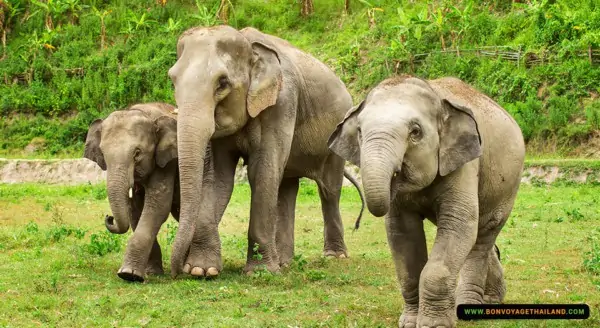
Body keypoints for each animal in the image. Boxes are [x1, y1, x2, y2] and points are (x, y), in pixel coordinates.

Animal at [84, 102, 178, 282]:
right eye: (103, 154)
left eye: (137, 153)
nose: (109, 217)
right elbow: (134, 211)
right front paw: (150, 273)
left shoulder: (167, 163)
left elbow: (157, 207)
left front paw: (128, 274)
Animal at [169, 24, 366, 278]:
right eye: (172, 80)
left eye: (222, 83)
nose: (176, 271)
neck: (248, 44)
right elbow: (218, 178)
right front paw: (202, 270)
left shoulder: (282, 102)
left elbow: (261, 171)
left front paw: (261, 272)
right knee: (286, 188)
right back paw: (285, 262)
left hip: (338, 134)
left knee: (329, 190)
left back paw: (334, 256)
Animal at [328, 76, 524, 328]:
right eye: (360, 131)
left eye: (415, 131)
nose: (357, 224)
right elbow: (402, 233)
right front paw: (410, 322)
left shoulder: (464, 164)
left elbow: (459, 225)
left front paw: (434, 324)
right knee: (481, 239)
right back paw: (489, 299)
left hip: (508, 186)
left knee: (482, 235)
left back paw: (470, 307)